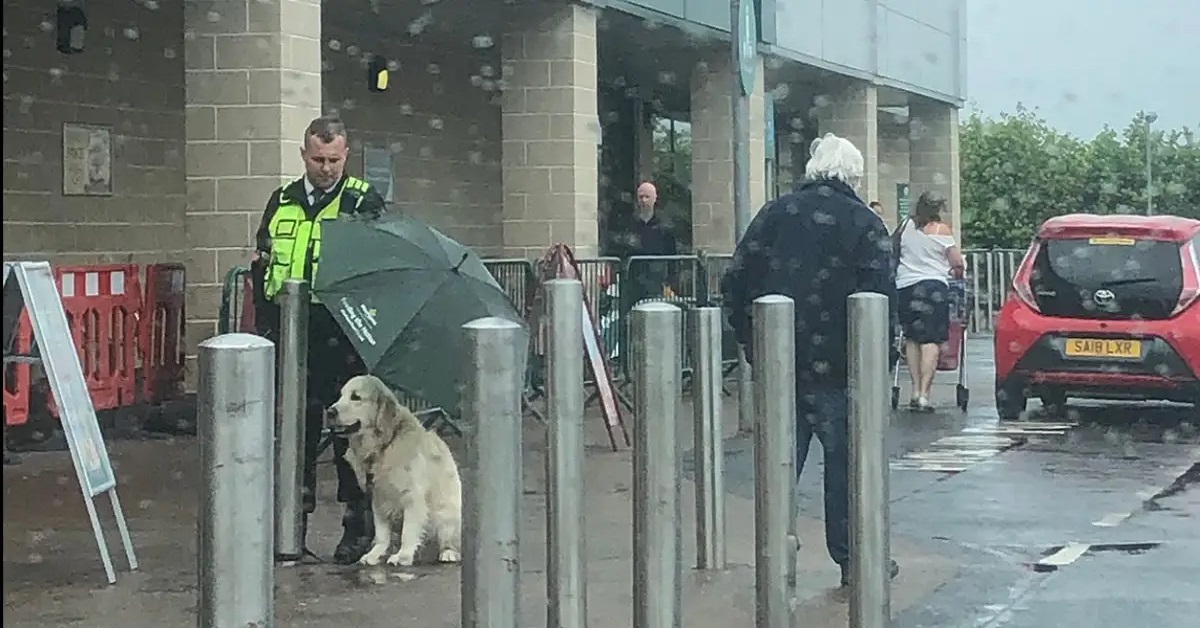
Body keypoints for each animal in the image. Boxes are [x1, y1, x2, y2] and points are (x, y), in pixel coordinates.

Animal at [324, 377, 463, 566]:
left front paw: (402, 555)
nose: (330, 412)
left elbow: (408, 531)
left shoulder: (412, 496)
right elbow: (382, 533)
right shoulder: (377, 496)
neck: (384, 445)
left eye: (356, 397)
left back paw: (448, 552)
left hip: (446, 514)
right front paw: (375, 554)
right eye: (340, 395)